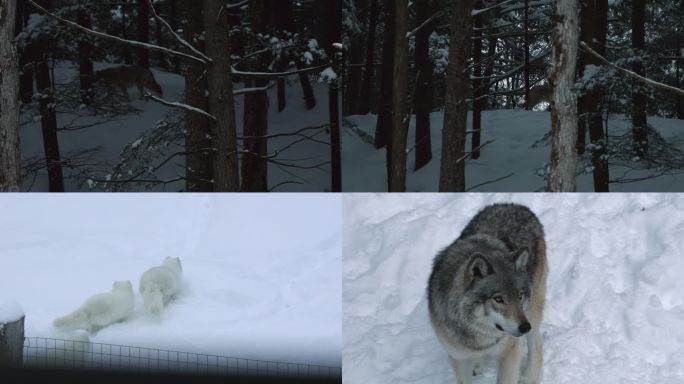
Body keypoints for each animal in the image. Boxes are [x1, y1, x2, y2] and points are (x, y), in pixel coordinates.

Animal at [428, 202, 552, 382]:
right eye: (498, 299)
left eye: (519, 296)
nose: (524, 327)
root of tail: (517, 205)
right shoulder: (458, 357)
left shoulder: (510, 352)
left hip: (532, 309)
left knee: (536, 344)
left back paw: (529, 377)